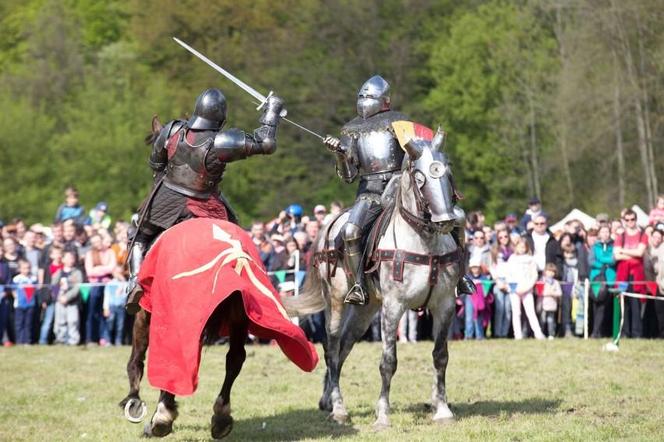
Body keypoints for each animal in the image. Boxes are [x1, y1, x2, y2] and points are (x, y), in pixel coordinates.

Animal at [284, 127, 462, 428]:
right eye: (420, 177)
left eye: (447, 172)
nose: (446, 219)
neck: (424, 242)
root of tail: (329, 225)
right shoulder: (393, 307)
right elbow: (388, 362)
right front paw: (382, 416)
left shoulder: (445, 305)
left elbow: (441, 356)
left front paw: (442, 410)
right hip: (336, 301)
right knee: (332, 347)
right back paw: (338, 408)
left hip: (365, 310)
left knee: (344, 346)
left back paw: (327, 400)